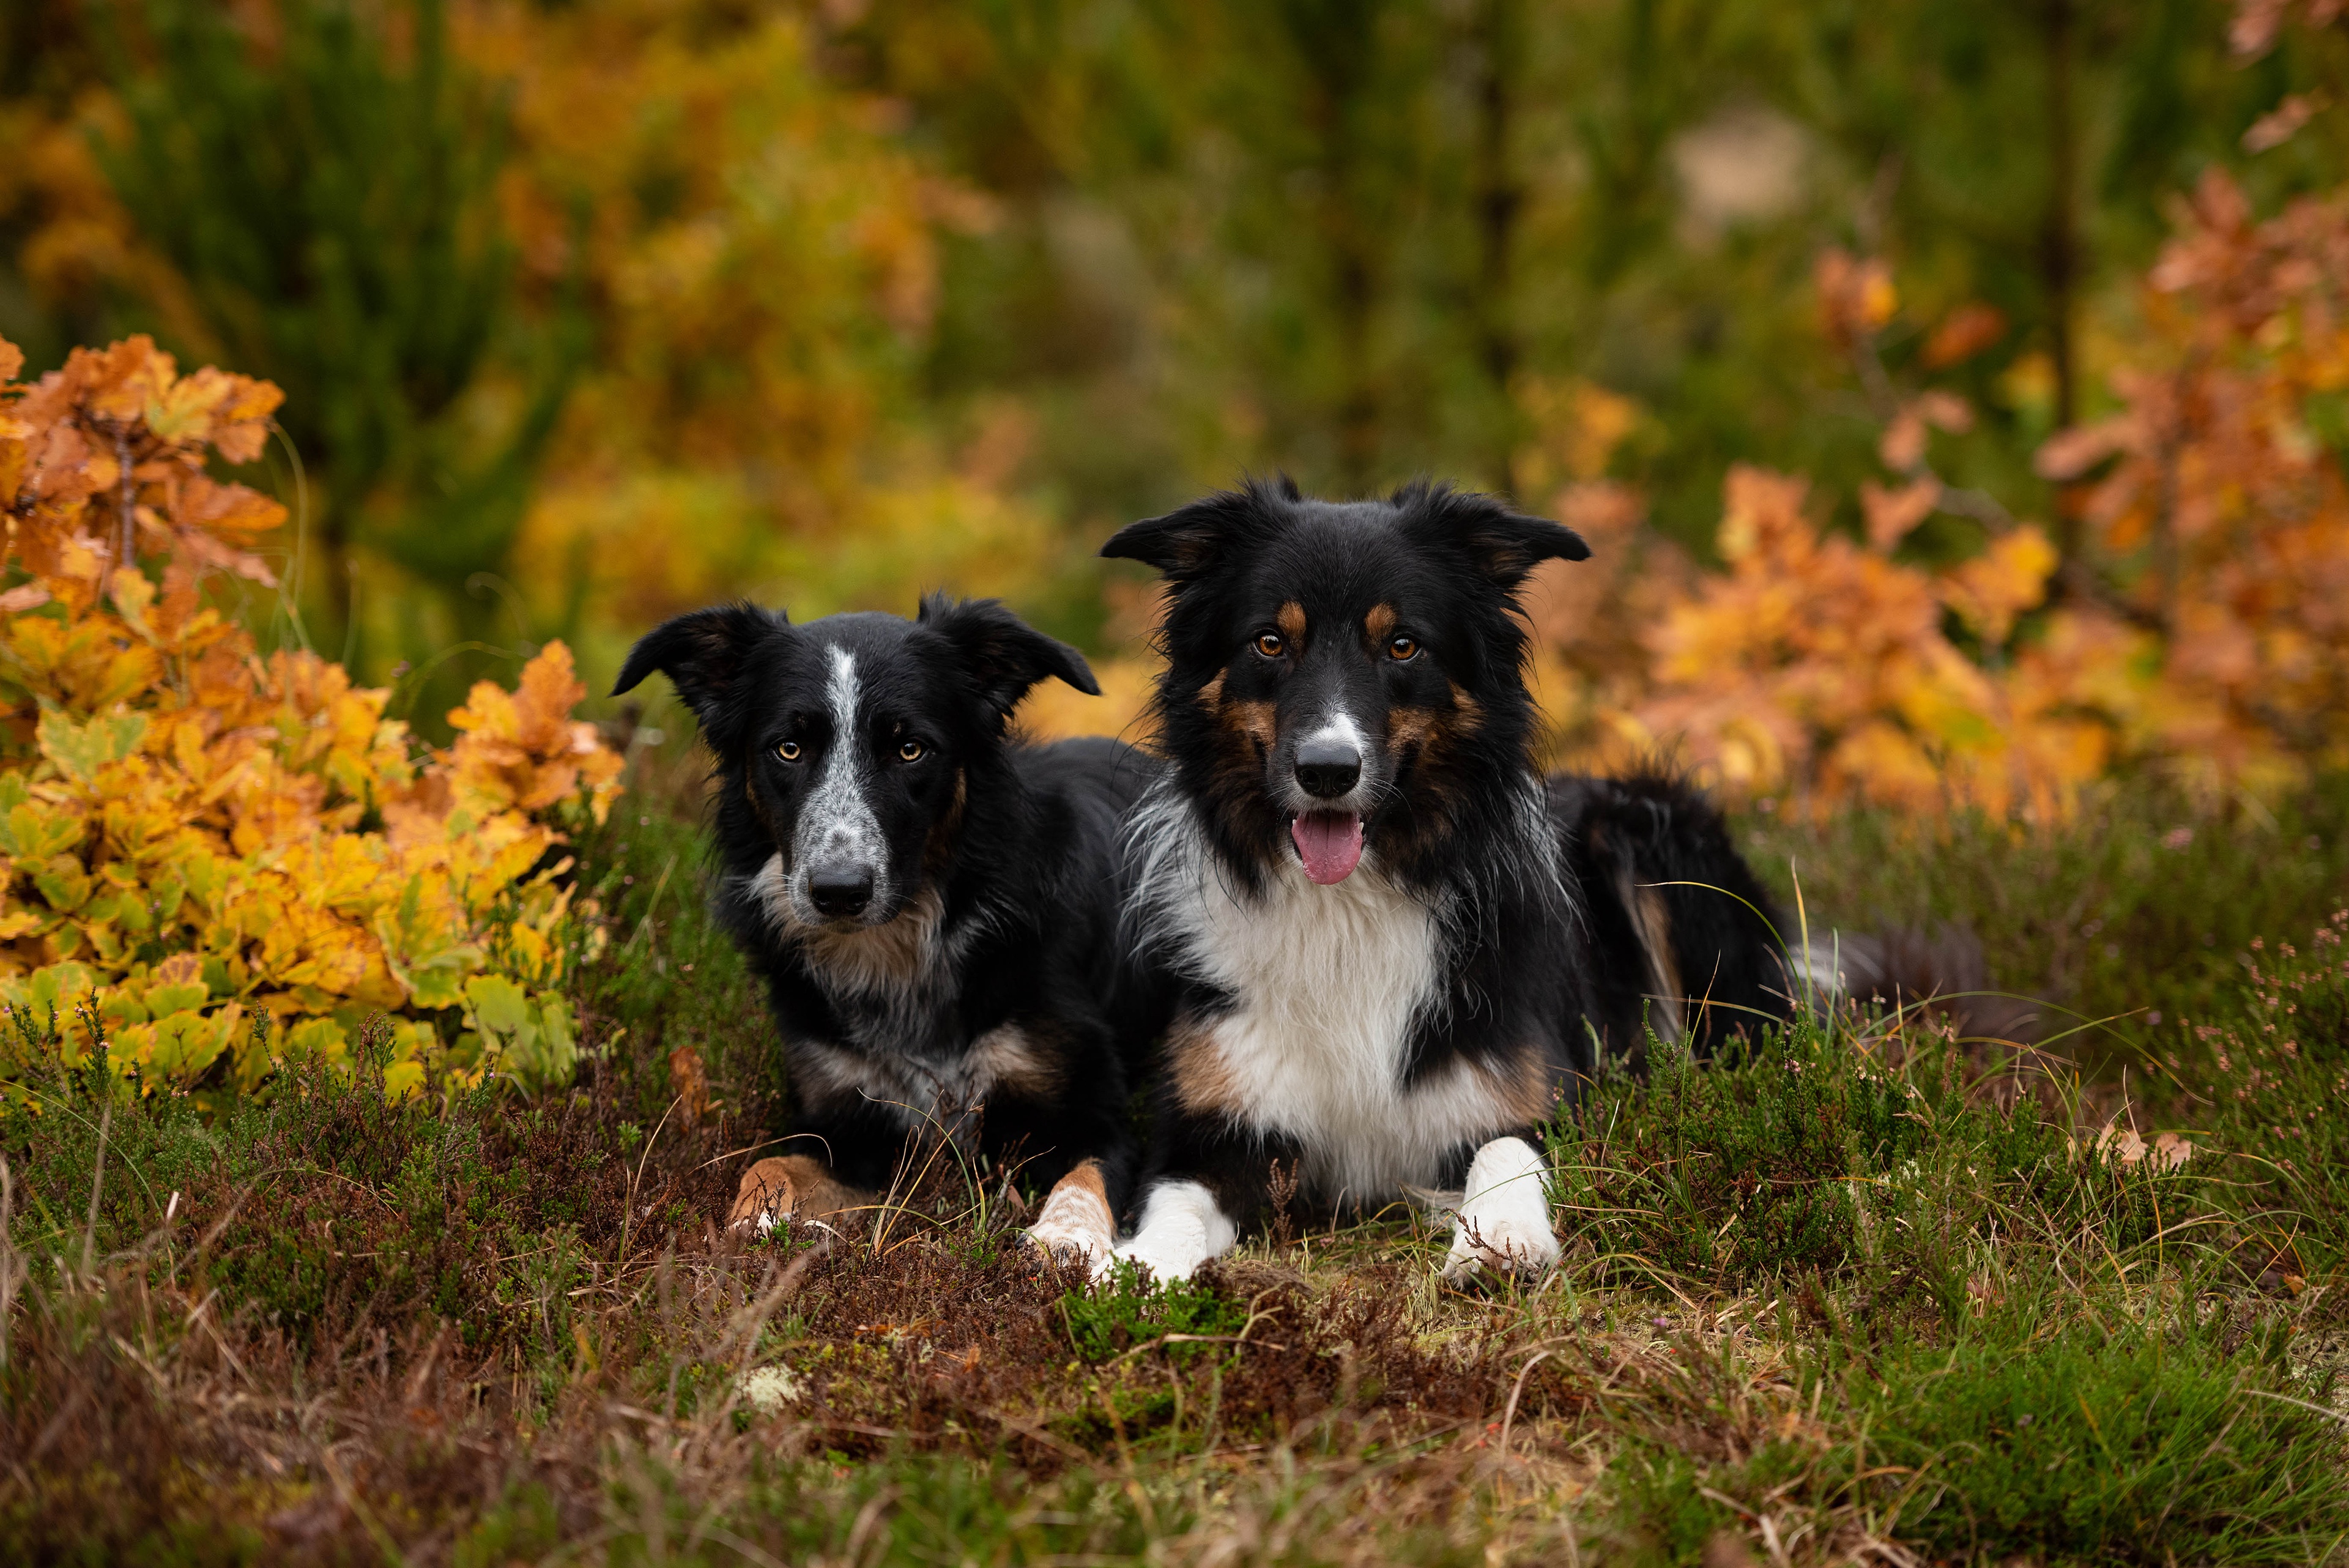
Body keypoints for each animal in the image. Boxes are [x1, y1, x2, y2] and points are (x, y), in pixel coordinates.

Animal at [615, 597, 1165, 1241]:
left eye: (910, 749)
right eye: (789, 748)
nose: (838, 892)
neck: (898, 949)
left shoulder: (1092, 1115)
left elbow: (1082, 1181)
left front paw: (1062, 1246)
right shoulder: (849, 1124)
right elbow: (768, 1165)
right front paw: (754, 1230)